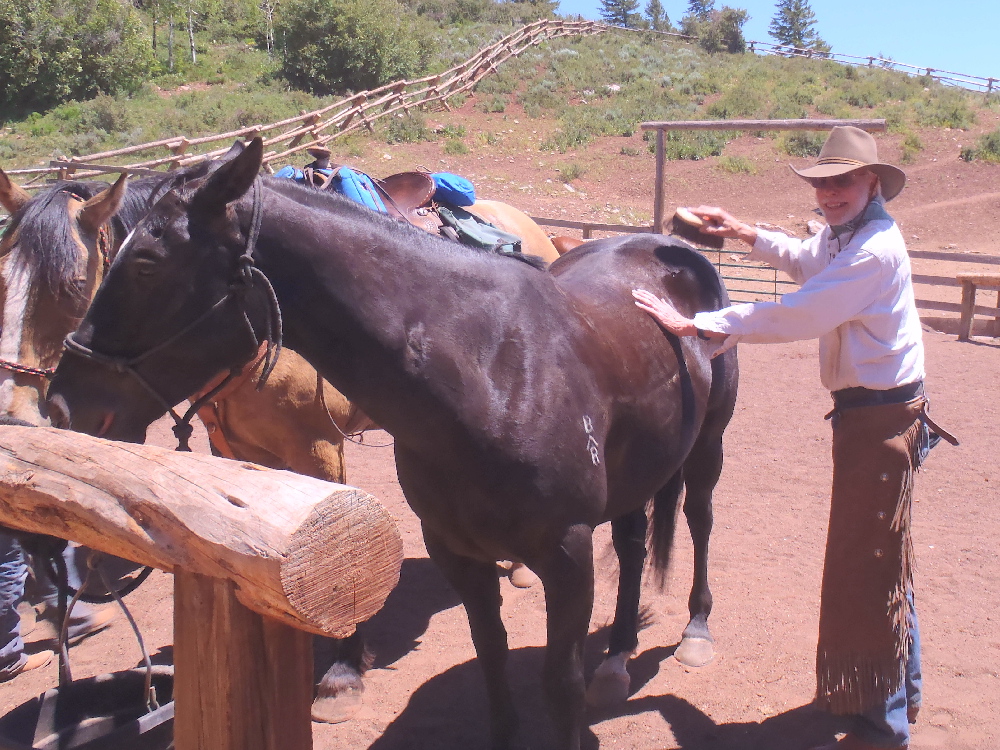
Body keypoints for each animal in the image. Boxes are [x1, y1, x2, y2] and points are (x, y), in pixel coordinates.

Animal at [0, 164, 374, 723]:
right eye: (1, 281)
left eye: (72, 286)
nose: (19, 416)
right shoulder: (239, 457)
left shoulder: (320, 450)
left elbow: (347, 547)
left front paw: (344, 670)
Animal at [46, 138, 739, 750]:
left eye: (144, 263)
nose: (62, 404)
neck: (493, 371)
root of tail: (668, 247)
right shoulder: (457, 552)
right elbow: (492, 663)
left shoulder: (567, 555)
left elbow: (559, 685)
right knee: (633, 544)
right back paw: (617, 655)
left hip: (708, 447)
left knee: (701, 519)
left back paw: (696, 632)